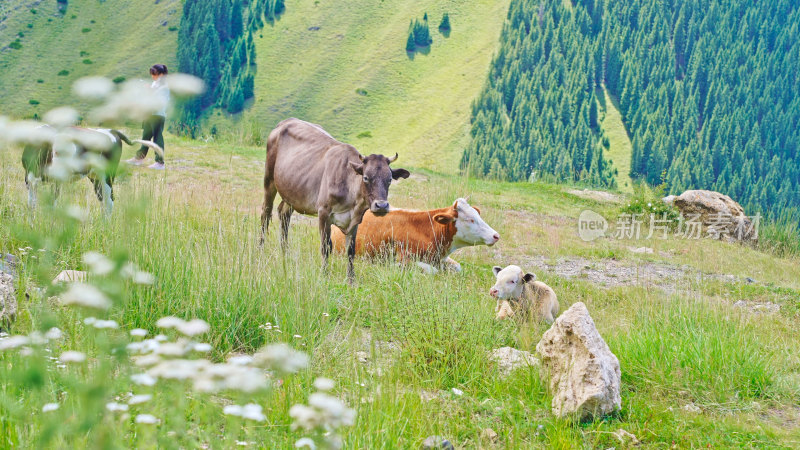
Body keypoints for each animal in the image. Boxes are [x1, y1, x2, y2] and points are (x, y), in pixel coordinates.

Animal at [260, 118, 410, 284]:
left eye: (389, 179)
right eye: (365, 177)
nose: (382, 205)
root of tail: (286, 121)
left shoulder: (355, 221)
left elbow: (350, 250)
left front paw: (351, 279)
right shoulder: (323, 213)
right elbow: (326, 247)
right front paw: (324, 275)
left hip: (292, 192)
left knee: (283, 213)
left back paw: (285, 252)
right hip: (269, 180)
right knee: (265, 213)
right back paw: (261, 249)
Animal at [328, 198, 496, 274]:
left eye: (477, 215)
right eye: (470, 219)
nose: (496, 235)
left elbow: (457, 267)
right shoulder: (404, 258)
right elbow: (432, 271)